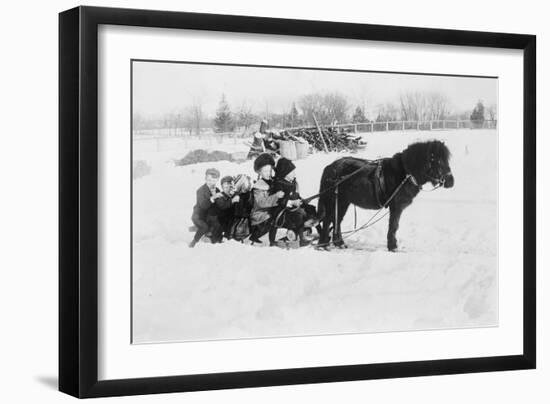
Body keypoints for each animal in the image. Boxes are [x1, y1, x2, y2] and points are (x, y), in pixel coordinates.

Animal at [316, 140, 454, 251]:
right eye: (437, 161)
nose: (451, 181)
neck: (405, 173)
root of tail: (330, 168)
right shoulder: (396, 207)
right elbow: (394, 226)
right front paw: (393, 247)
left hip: (343, 202)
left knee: (337, 220)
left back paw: (339, 243)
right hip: (334, 201)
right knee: (328, 220)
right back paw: (323, 245)